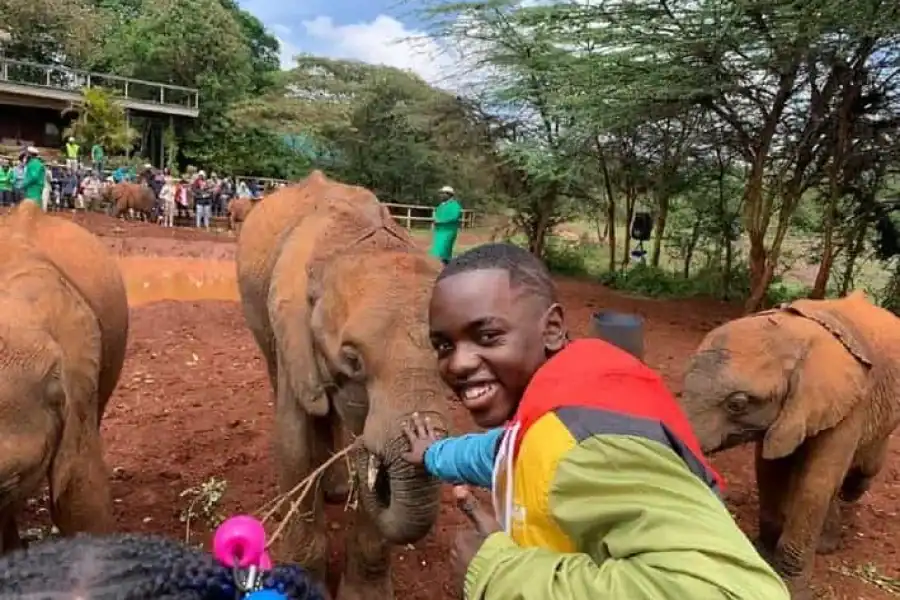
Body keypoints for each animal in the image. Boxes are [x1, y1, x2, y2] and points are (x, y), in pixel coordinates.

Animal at [680, 292, 900, 599]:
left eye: (737, 404)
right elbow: (770, 470)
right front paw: (762, 555)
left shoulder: (852, 405)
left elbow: (815, 484)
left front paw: (790, 588)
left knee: (863, 469)